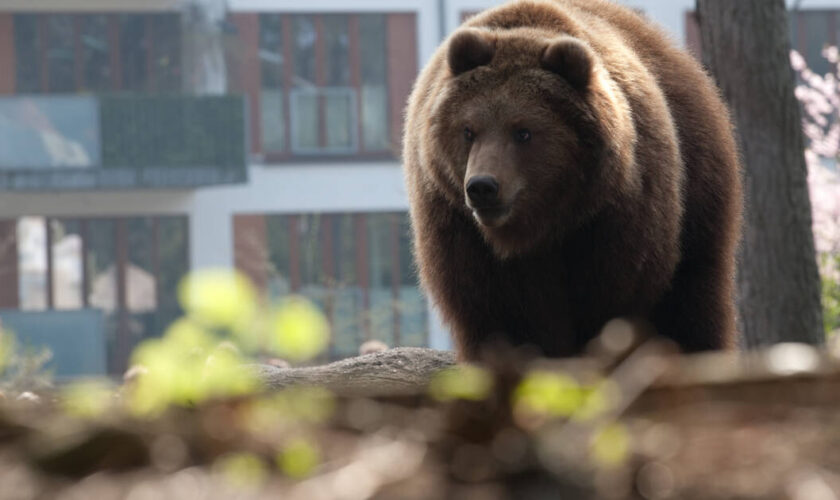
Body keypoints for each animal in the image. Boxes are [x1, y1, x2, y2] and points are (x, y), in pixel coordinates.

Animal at [406, 0, 740, 360]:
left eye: (523, 131)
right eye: (468, 130)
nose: (483, 187)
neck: (540, 226)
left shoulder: (615, 220)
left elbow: (609, 302)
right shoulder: (461, 231)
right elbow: (501, 314)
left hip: (699, 197)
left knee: (693, 298)